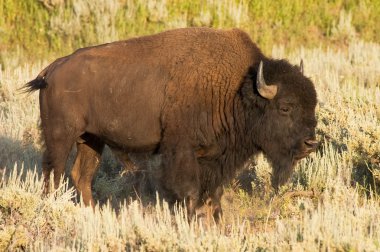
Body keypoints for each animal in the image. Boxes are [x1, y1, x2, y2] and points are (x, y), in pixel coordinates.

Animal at [24, 27, 318, 220]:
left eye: (313, 103)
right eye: (285, 107)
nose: (311, 143)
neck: (235, 89)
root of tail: (53, 68)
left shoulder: (214, 158)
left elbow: (213, 193)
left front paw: (213, 220)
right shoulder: (182, 151)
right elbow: (188, 190)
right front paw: (191, 220)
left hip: (92, 140)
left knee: (81, 176)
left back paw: (93, 216)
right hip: (60, 137)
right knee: (54, 173)